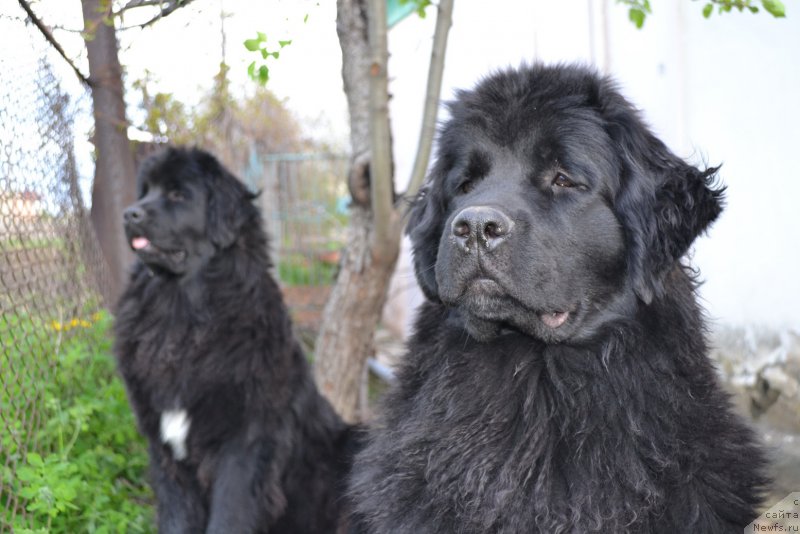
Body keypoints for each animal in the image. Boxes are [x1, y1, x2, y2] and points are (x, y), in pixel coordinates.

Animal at [114, 148, 352, 534]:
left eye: (178, 194)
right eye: (145, 192)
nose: (129, 213)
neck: (181, 313)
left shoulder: (245, 444)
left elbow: (229, 515)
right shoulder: (165, 450)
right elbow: (176, 516)